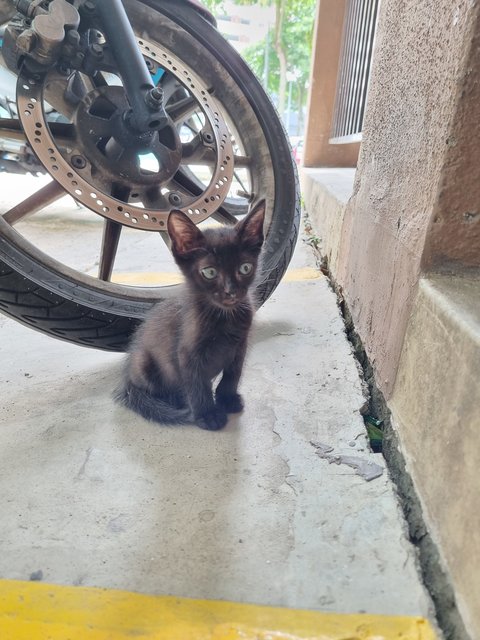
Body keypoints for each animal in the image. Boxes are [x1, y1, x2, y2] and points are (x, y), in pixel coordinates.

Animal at [116, 200, 266, 430]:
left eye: (245, 268)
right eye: (210, 272)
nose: (231, 291)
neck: (224, 317)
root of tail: (127, 381)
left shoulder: (241, 345)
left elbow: (233, 374)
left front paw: (227, 399)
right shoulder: (187, 353)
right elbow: (197, 384)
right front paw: (207, 414)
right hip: (143, 362)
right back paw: (173, 400)